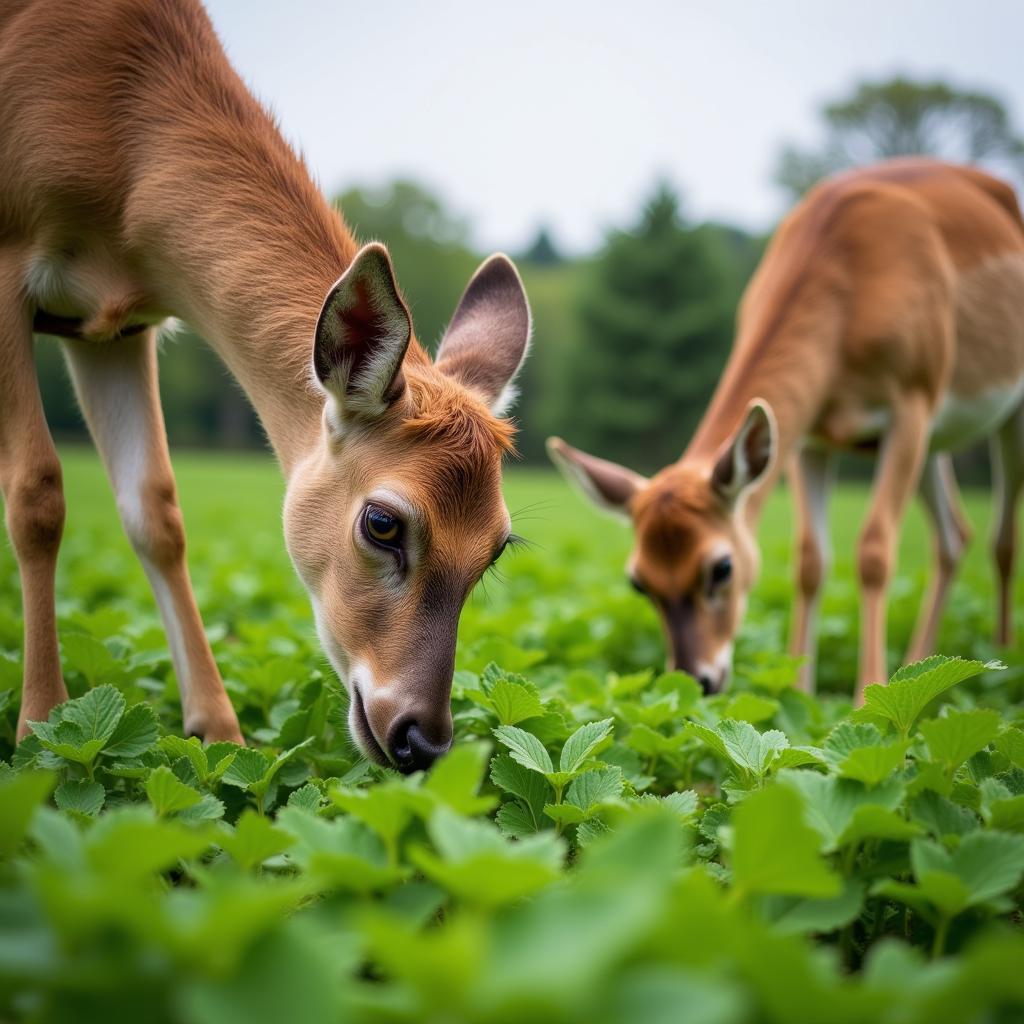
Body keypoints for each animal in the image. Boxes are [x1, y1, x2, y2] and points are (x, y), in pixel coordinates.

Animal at [0, 0, 528, 770]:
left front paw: (219, 733)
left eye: (497, 548)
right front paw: (39, 728)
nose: (422, 739)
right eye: (382, 523)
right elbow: (37, 490)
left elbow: (154, 507)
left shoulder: (112, 327)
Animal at [552, 157, 1024, 704]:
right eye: (638, 581)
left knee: (1001, 539)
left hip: (994, 412)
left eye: (722, 567)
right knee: (954, 537)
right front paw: (799, 692)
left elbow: (874, 551)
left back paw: (1001, 663)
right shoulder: (808, 436)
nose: (698, 680)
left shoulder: (913, 399)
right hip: (934, 446)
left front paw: (867, 696)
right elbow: (809, 561)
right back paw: (924, 671)